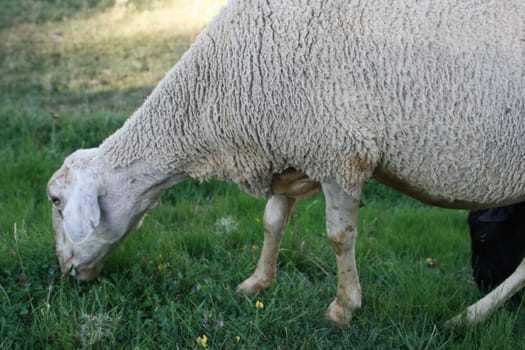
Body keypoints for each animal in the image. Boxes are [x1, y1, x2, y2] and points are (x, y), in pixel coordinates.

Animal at [46, 0, 524, 328]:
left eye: (55, 201)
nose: (66, 274)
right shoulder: (288, 144)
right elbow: (272, 221)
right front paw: (256, 283)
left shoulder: (337, 150)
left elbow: (338, 237)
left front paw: (343, 308)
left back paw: (467, 318)